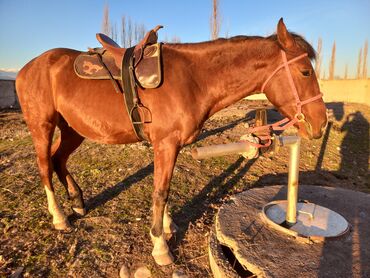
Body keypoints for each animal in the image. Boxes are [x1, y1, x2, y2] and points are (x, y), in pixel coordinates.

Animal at [15, 19, 326, 264]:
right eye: (305, 72)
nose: (321, 123)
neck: (193, 80)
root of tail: (27, 68)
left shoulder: (171, 147)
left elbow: (165, 189)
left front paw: (166, 227)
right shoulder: (165, 144)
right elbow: (160, 192)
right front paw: (160, 247)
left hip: (73, 129)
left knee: (58, 159)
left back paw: (78, 202)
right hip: (42, 126)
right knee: (44, 166)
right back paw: (59, 217)